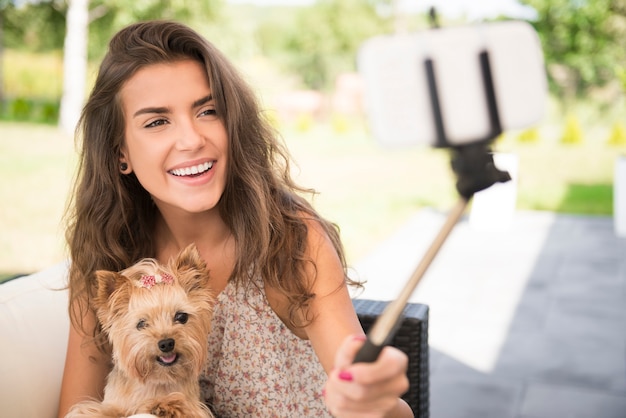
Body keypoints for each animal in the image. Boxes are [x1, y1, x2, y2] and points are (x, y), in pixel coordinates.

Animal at [66, 245, 214, 418]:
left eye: (181, 317)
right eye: (141, 324)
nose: (166, 343)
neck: (158, 381)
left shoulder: (198, 408)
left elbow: (185, 407)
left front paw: (167, 406)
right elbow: (100, 410)